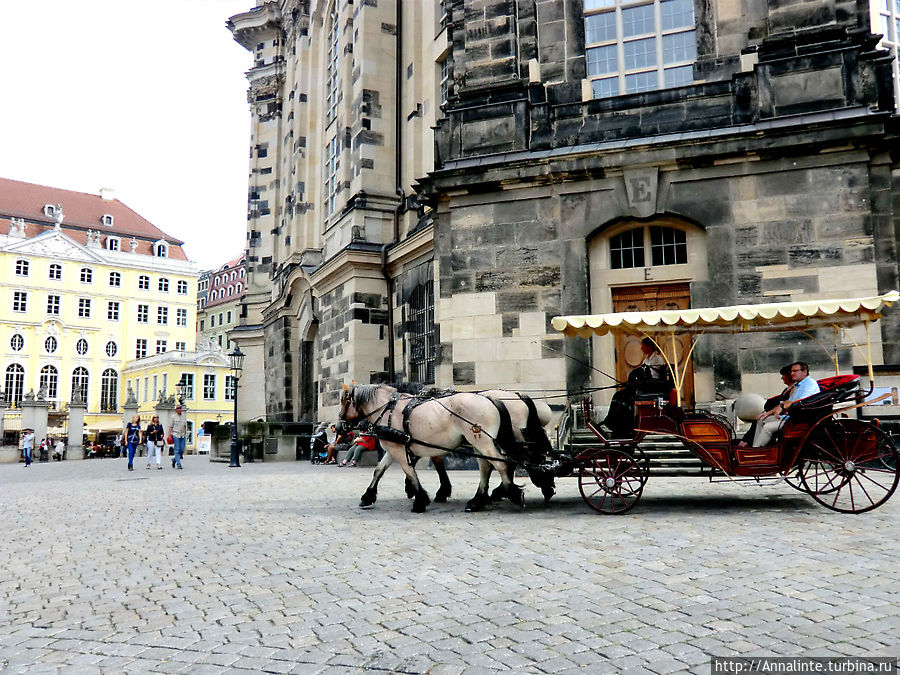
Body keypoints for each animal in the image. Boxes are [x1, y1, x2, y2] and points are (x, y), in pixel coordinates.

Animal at [342, 386, 528, 512]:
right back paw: (478, 500)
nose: (339, 425)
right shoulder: (394, 448)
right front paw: (367, 497)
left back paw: (512, 493)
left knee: (501, 464)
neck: (388, 409)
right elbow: (379, 470)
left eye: (344, 402)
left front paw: (420, 500)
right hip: (479, 443)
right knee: (486, 467)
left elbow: (410, 471)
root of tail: (489, 399)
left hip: (483, 441)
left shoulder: (399, 449)